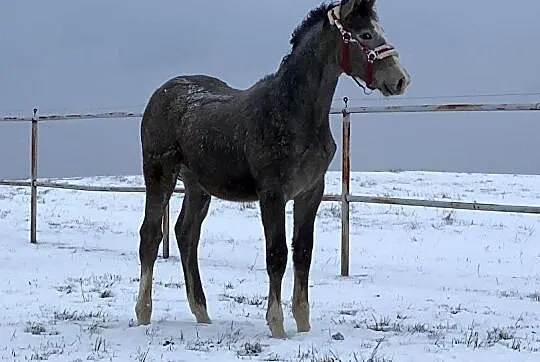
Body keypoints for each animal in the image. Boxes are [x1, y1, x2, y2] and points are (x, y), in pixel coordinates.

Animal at [135, 0, 410, 340]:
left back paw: (201, 312)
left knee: (186, 235)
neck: (292, 114)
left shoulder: (310, 192)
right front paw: (277, 325)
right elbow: (277, 254)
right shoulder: (272, 194)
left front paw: (303, 323)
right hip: (159, 174)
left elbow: (303, 252)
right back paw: (143, 312)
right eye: (366, 34)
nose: (400, 79)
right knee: (150, 236)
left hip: (197, 186)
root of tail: (163, 92)